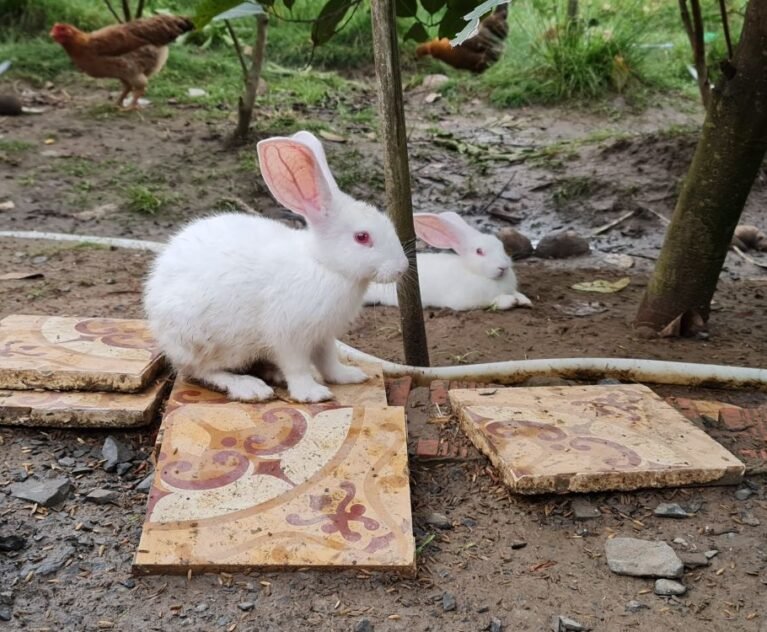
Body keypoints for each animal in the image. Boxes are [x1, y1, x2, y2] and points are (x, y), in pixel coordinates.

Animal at [144, 130, 408, 403]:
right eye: (362, 237)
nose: (402, 267)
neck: (323, 264)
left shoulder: (324, 336)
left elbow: (328, 361)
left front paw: (349, 376)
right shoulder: (289, 336)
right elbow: (297, 367)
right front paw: (312, 394)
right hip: (202, 341)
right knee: (201, 370)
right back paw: (250, 387)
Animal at [364, 211, 531, 311]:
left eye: (501, 246)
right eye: (479, 251)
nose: (503, 267)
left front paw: (525, 300)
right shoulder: (466, 301)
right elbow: (492, 301)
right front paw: (510, 301)